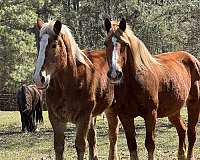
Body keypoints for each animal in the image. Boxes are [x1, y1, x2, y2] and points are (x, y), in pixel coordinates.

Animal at [32, 19, 119, 159]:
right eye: (38, 45)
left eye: (54, 45)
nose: (39, 78)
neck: (69, 84)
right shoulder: (56, 118)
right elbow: (59, 147)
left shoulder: (83, 117)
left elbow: (80, 145)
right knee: (93, 139)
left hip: (112, 109)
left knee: (113, 137)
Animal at [104, 18, 200, 160]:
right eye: (105, 44)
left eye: (125, 44)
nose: (115, 74)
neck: (133, 84)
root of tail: (193, 59)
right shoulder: (125, 116)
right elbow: (132, 145)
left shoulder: (151, 114)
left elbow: (150, 144)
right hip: (173, 111)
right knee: (182, 130)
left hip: (194, 104)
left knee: (192, 133)